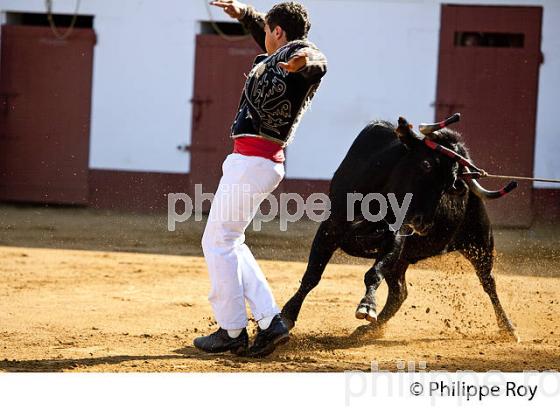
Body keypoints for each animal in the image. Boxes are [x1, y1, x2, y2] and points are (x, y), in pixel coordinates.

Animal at [280, 116, 520, 342]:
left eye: (451, 182)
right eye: (426, 165)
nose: (423, 223)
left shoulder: (396, 236)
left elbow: (373, 273)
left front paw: (367, 307)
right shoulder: (330, 229)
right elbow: (312, 275)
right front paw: (286, 316)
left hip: (480, 243)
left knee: (488, 283)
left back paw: (508, 328)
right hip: (404, 262)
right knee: (399, 293)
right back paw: (368, 330)